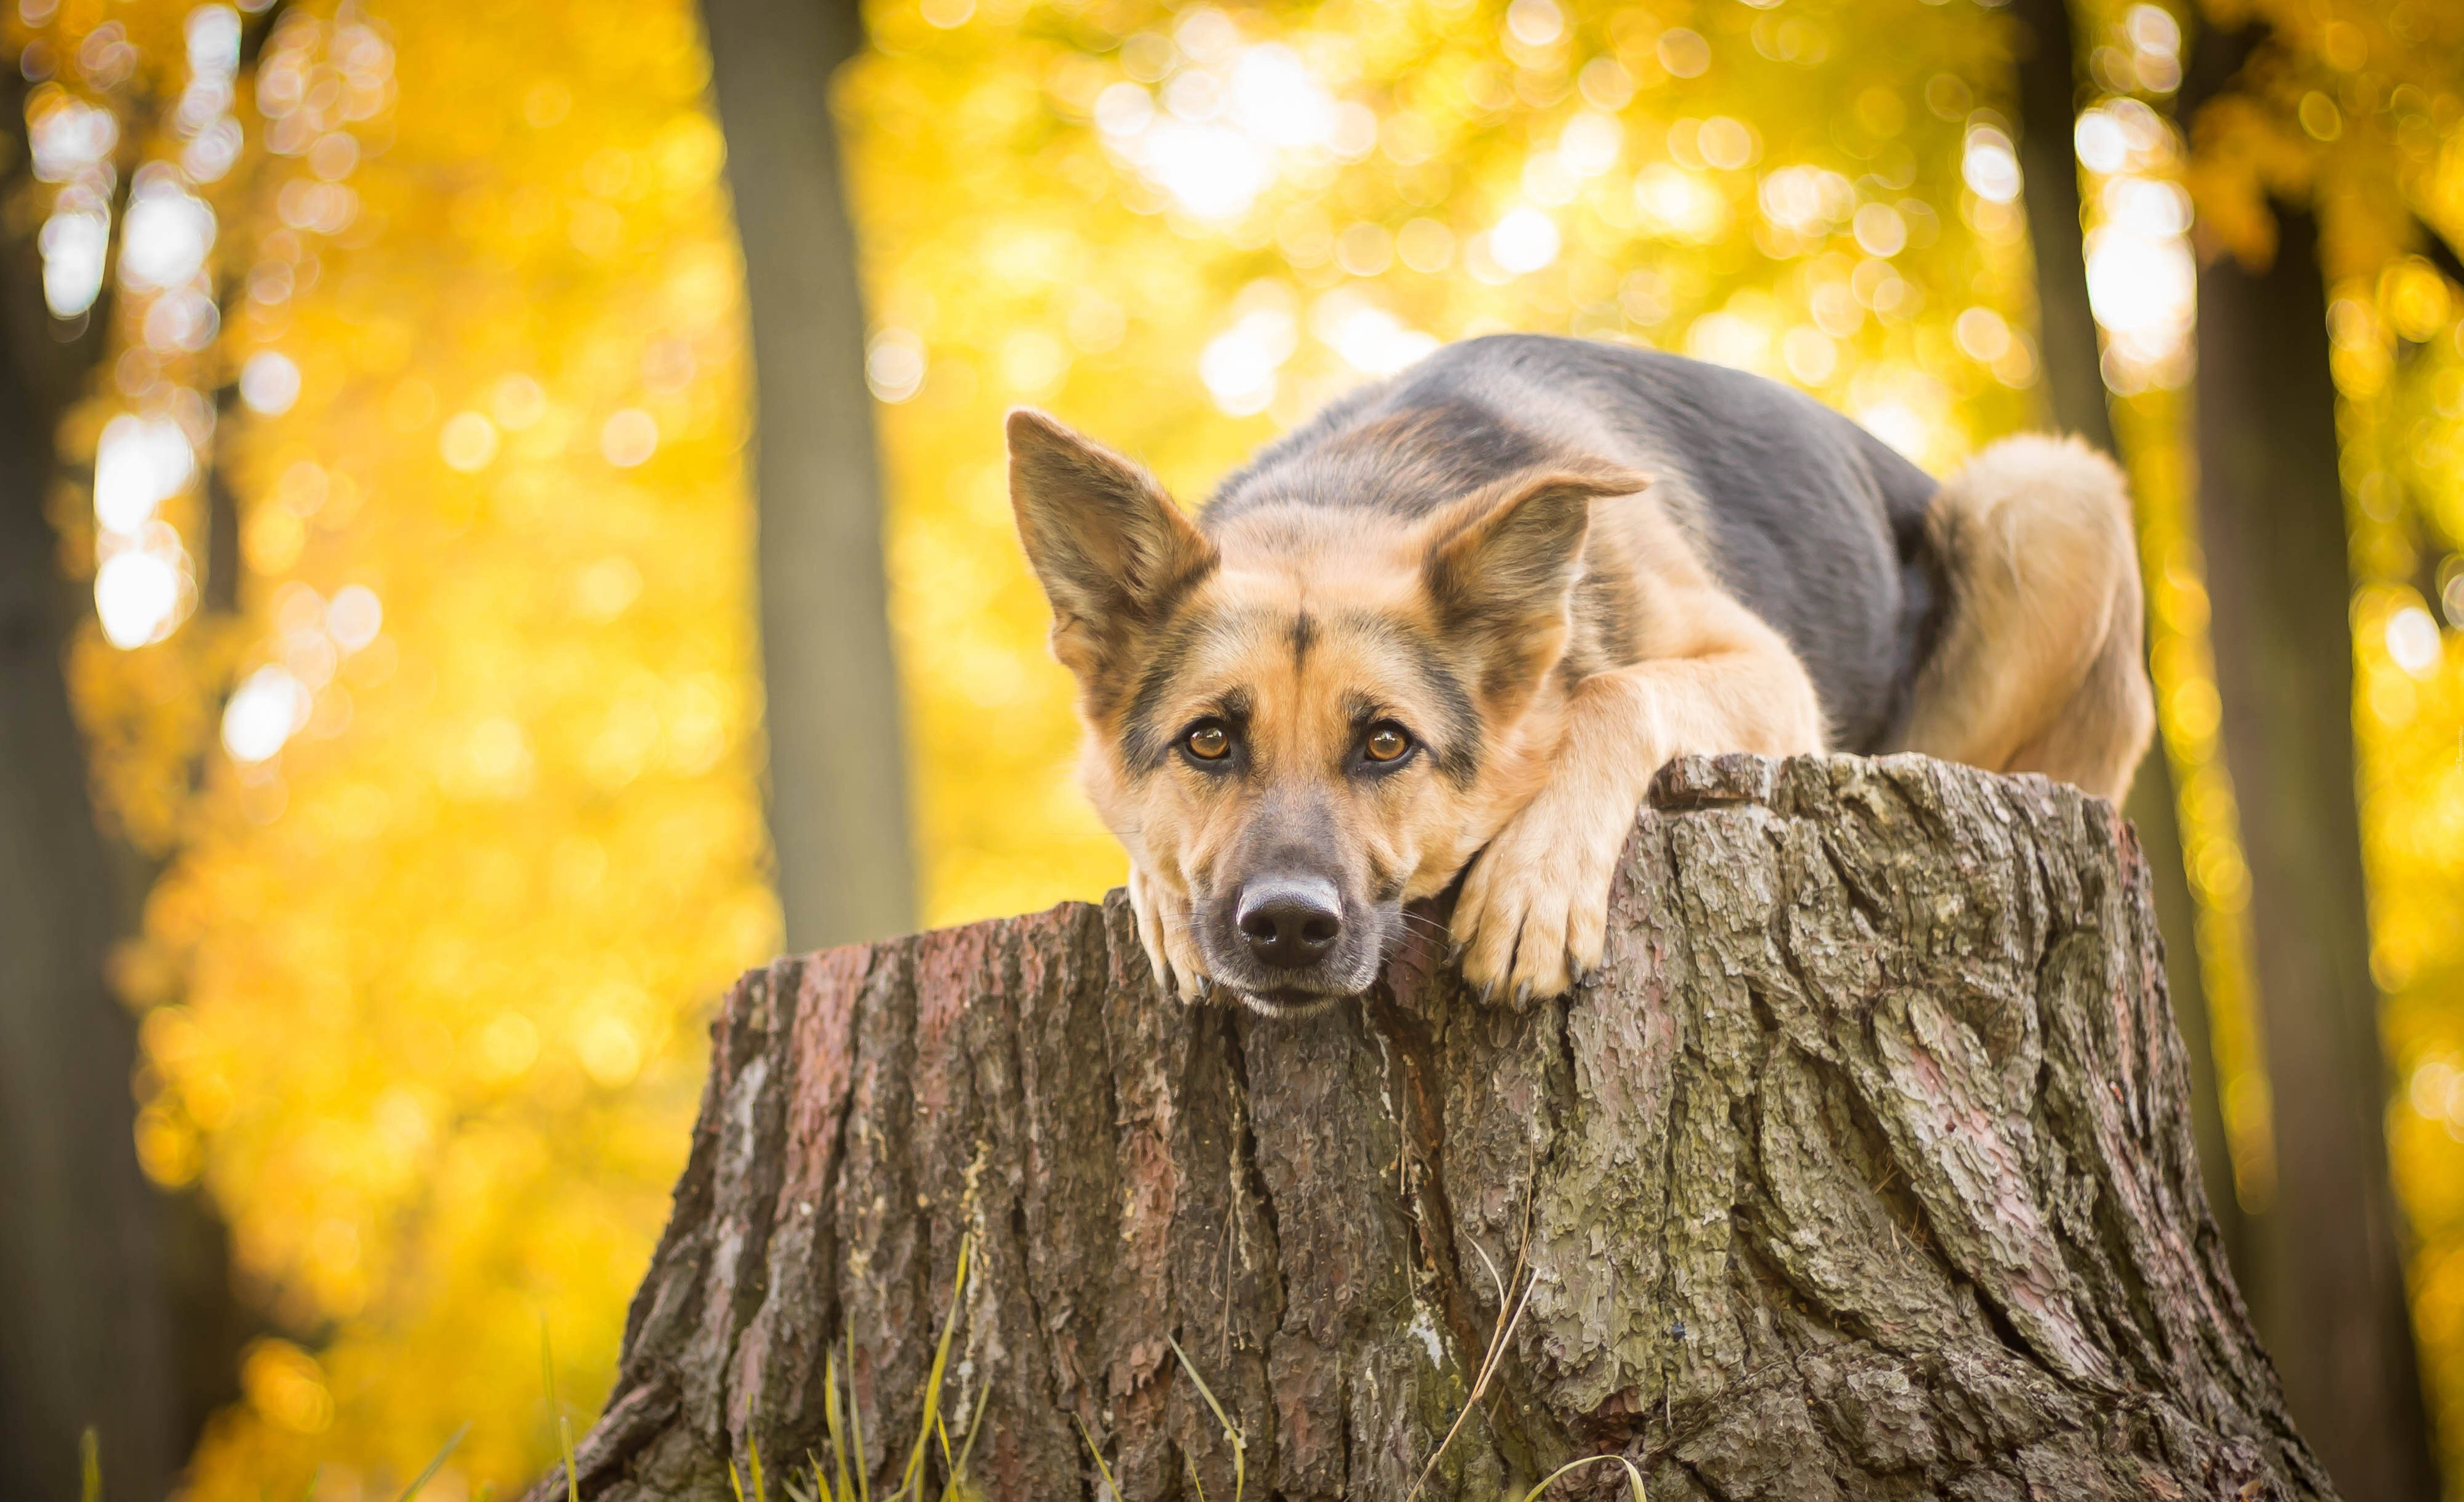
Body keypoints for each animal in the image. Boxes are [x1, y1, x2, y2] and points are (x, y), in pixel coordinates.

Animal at [1010, 337, 2149, 1019]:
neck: (1356, 491)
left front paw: (1535, 881)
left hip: (2049, 493)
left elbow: (1612, 690)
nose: (1288, 926)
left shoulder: (1767, 673)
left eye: (1385, 743)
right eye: (1207, 740)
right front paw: (1159, 894)